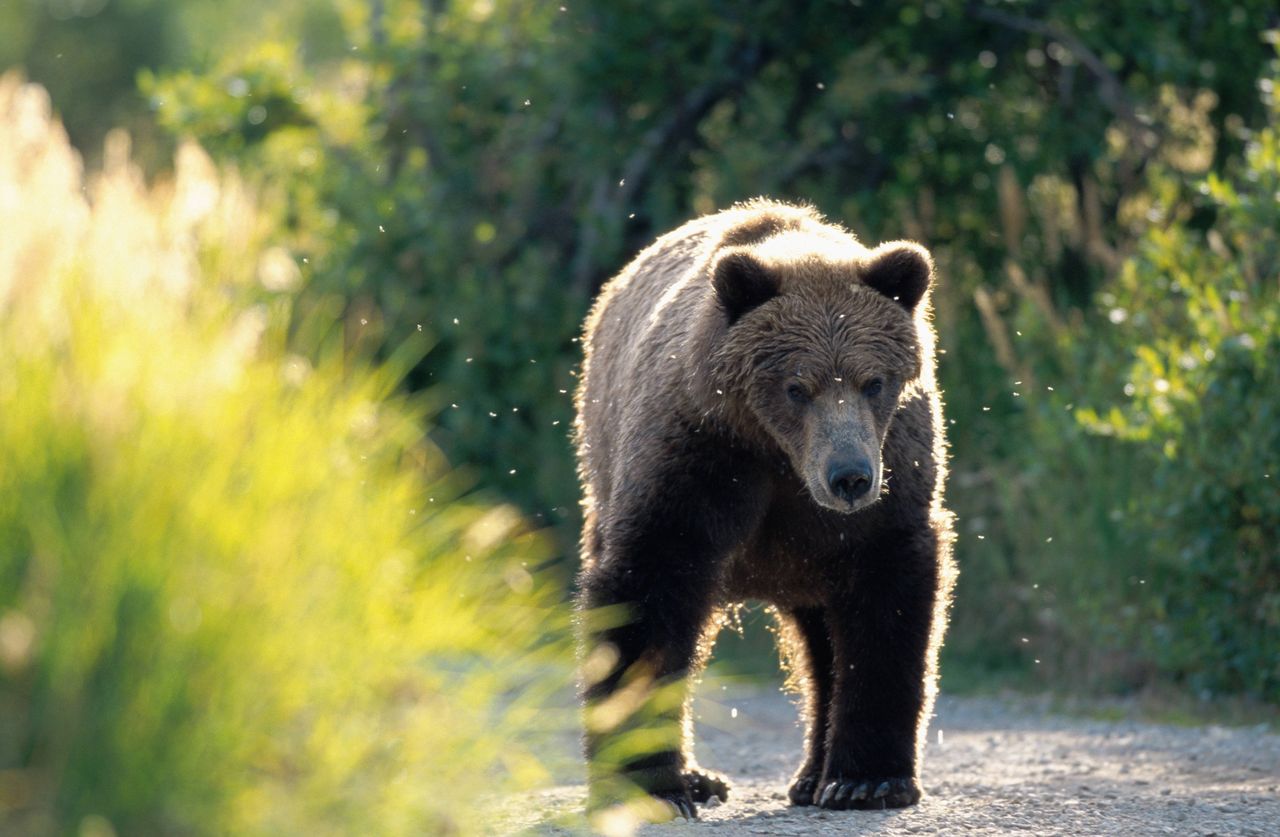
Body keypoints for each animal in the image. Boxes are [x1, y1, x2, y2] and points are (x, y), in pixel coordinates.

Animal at [576, 202, 957, 819]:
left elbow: (886, 612)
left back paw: (812, 778)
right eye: (797, 387)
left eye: (874, 381)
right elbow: (648, 587)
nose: (850, 477)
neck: (780, 457)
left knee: (823, 641)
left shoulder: (889, 486)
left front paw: (868, 781)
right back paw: (704, 779)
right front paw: (652, 783)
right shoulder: (698, 457)